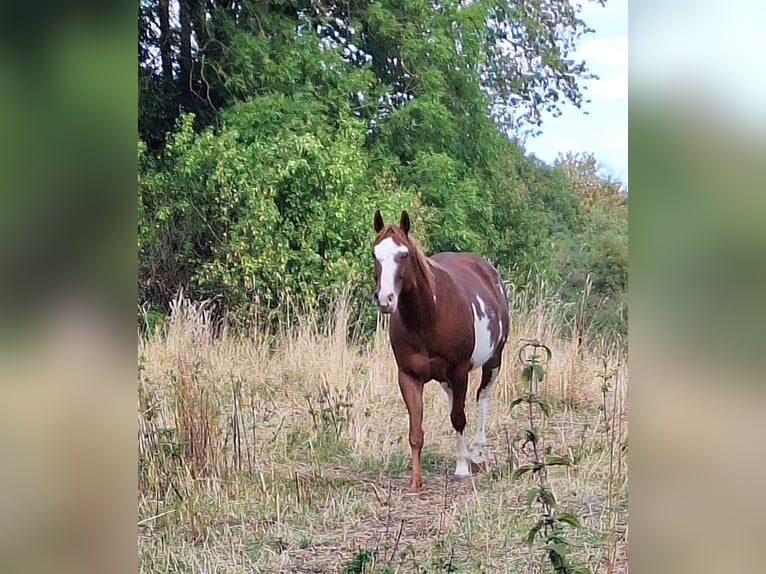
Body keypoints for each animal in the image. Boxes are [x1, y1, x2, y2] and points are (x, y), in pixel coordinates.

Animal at [371, 209, 510, 492]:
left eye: (404, 254)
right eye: (374, 254)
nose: (385, 300)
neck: (428, 316)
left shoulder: (459, 370)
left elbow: (459, 418)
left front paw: (461, 469)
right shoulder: (408, 376)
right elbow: (416, 431)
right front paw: (415, 481)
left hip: (493, 360)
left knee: (482, 399)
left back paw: (476, 455)